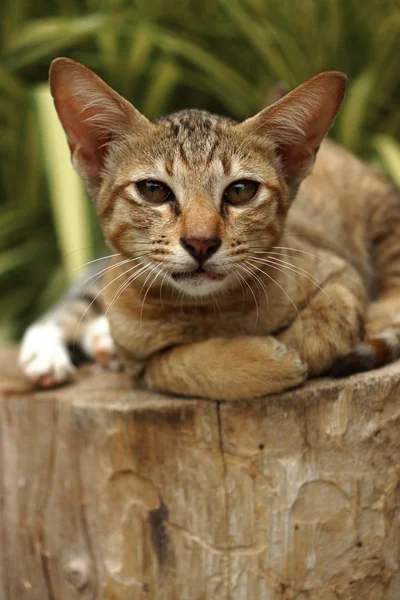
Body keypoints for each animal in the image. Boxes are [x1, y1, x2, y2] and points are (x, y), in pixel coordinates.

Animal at [18, 58, 400, 400]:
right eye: (153, 190)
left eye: (241, 191)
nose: (201, 243)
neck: (207, 312)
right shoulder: (140, 363)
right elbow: (177, 366)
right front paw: (270, 362)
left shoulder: (340, 270)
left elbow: (329, 317)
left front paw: (297, 347)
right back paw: (47, 357)